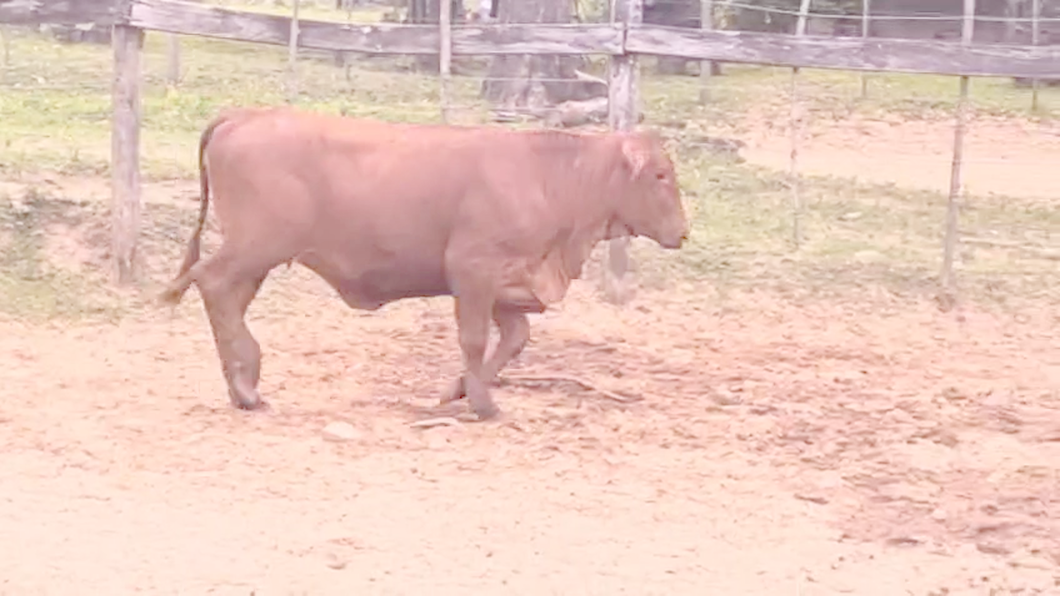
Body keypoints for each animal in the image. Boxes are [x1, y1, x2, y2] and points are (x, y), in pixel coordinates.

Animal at [156, 105, 686, 417]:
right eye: (660, 174)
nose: (683, 231)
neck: (548, 178)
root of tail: (246, 115)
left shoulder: (504, 285)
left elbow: (515, 338)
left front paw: (460, 390)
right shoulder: (473, 270)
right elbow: (474, 339)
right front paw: (481, 403)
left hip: (258, 257)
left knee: (227, 298)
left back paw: (244, 383)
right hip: (256, 247)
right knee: (212, 283)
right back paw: (245, 387)